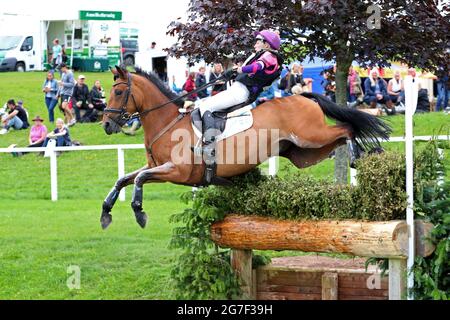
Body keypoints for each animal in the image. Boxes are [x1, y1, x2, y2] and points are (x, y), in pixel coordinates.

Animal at [101, 66, 390, 229]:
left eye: (118, 92)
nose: (106, 124)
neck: (167, 122)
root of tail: (302, 96)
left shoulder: (176, 171)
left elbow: (138, 178)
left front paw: (139, 212)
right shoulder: (160, 169)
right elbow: (123, 179)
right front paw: (106, 212)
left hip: (311, 136)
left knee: (347, 129)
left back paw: (359, 155)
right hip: (302, 152)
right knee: (339, 138)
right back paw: (362, 155)